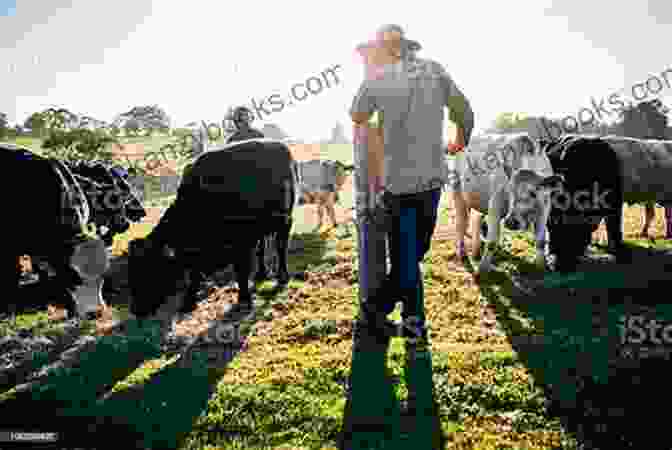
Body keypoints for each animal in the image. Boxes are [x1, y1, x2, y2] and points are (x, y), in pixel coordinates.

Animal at [127, 137, 296, 320]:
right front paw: (188, 302)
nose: (136, 310)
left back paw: (282, 276)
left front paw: (244, 299)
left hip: (285, 219)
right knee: (262, 248)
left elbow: (241, 271)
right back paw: (261, 274)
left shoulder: (242, 243)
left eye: (152, 270)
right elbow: (194, 274)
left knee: (280, 246)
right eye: (132, 271)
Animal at [454, 133, 564, 274]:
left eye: (533, 193)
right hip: (458, 195)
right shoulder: (495, 205)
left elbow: (540, 240)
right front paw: (483, 269)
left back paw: (476, 250)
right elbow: (492, 242)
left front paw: (542, 265)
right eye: (510, 190)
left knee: (476, 220)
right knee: (461, 224)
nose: (511, 222)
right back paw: (462, 253)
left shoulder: (544, 208)